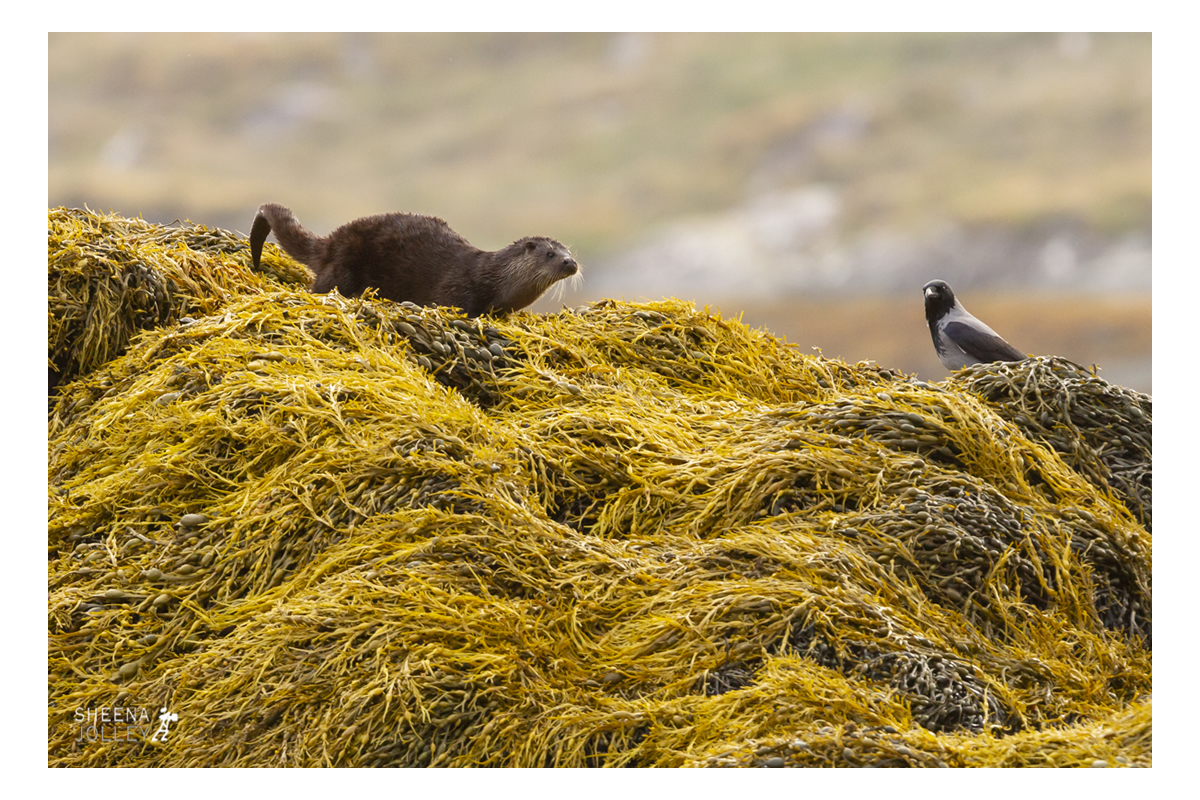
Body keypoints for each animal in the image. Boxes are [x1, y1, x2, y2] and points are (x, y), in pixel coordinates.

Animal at [250, 203, 578, 316]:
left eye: (570, 252)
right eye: (550, 254)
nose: (571, 263)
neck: (492, 277)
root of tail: (332, 240)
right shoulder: (457, 288)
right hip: (344, 265)